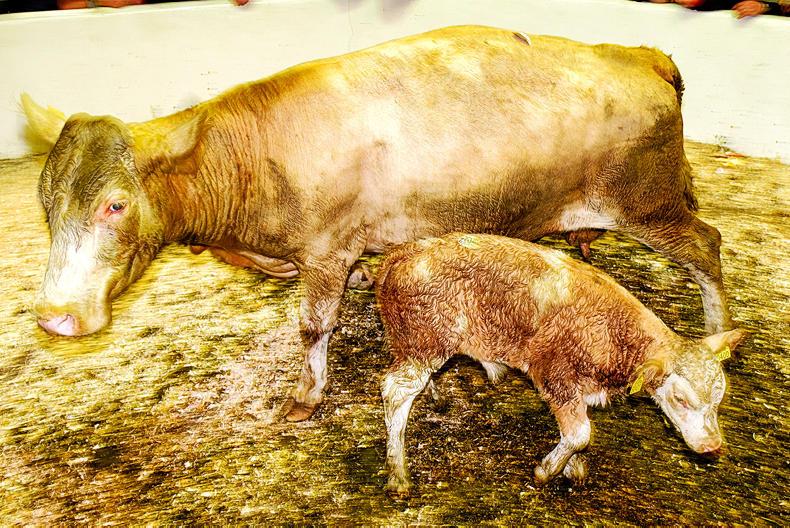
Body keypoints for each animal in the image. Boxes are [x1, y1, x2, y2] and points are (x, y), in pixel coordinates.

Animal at [25, 25, 733, 423]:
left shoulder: (325, 248)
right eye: (45, 199)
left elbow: (313, 325)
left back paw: (718, 331)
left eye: (115, 203)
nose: (55, 317)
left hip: (648, 201)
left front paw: (305, 396)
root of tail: (637, 53)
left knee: (707, 245)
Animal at [376, 233, 744, 495]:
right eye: (680, 399)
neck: (616, 331)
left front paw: (574, 468)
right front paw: (548, 470)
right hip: (427, 341)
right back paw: (399, 475)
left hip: (414, 342)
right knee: (395, 391)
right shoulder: (556, 374)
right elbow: (580, 433)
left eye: (719, 399)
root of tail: (405, 252)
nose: (712, 446)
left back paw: (436, 397)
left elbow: (578, 434)